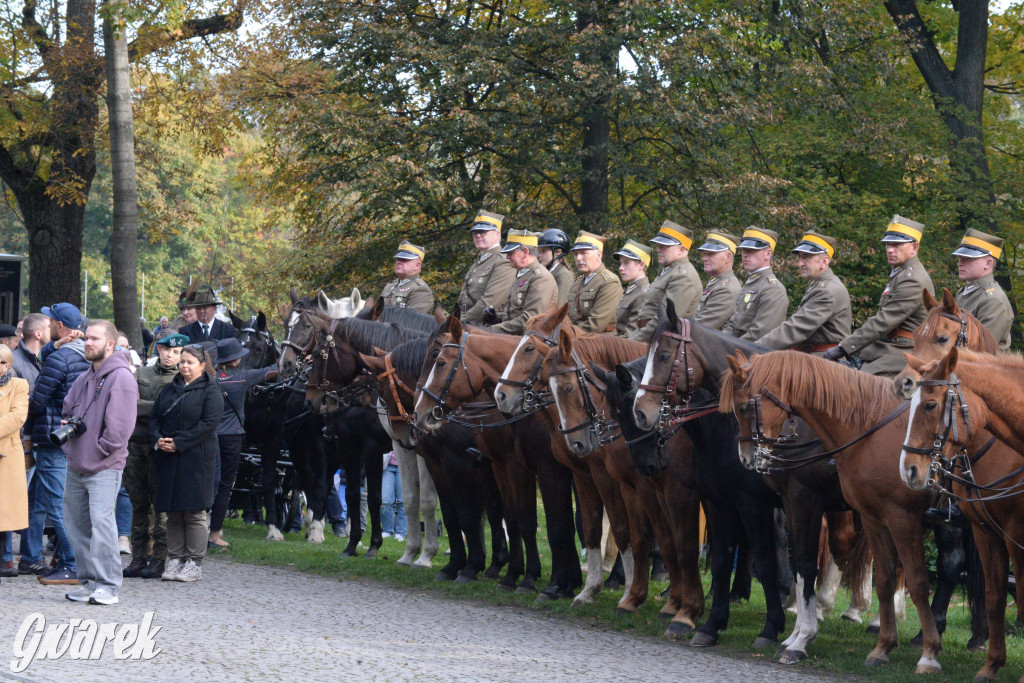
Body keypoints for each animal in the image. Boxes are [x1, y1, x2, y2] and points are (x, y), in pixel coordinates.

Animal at [720, 350, 942, 675]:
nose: (747, 458)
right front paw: (795, 635)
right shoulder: (793, 502)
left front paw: (801, 639)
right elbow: (803, 566)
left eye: (745, 406)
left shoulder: (807, 500)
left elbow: (806, 562)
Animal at [905, 350, 1024, 679]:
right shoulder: (986, 532)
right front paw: (991, 666)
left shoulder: (1016, 535)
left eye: (930, 405)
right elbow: (995, 598)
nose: (909, 469)